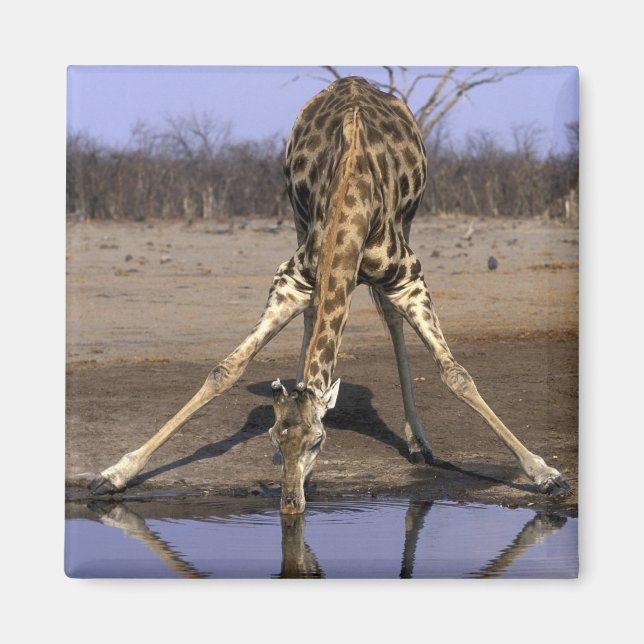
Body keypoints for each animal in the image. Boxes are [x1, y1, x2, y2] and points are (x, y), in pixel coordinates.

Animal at [90, 76, 570, 513]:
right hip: (296, 216)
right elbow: (225, 369)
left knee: (391, 321)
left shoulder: (409, 278)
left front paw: (546, 474)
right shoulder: (293, 278)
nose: (290, 504)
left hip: (407, 229)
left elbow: (457, 376)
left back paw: (419, 444)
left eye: (319, 442)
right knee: (316, 315)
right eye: (273, 438)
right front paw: (114, 474)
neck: (353, 195)